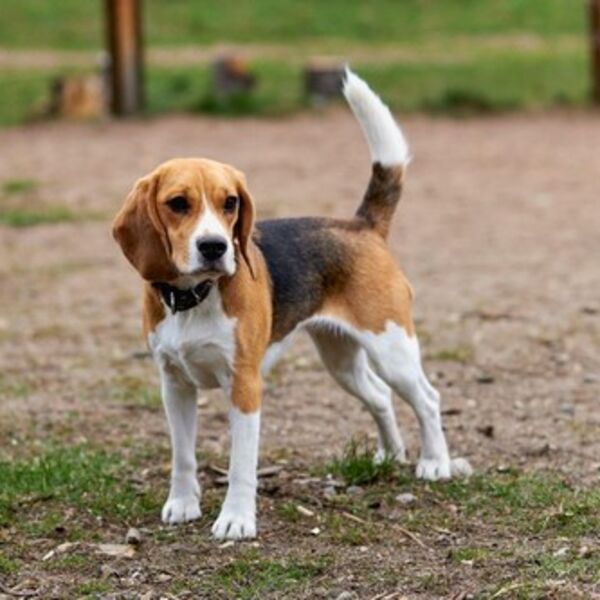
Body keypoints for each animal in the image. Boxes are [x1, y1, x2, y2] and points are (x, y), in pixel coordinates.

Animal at [112, 70, 471, 540]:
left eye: (230, 203)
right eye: (177, 204)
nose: (215, 247)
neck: (195, 298)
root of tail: (361, 225)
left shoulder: (245, 386)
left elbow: (241, 465)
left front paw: (236, 520)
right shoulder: (174, 384)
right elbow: (183, 456)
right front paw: (183, 504)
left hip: (392, 348)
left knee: (427, 398)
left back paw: (435, 463)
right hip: (341, 360)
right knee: (379, 396)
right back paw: (391, 455)